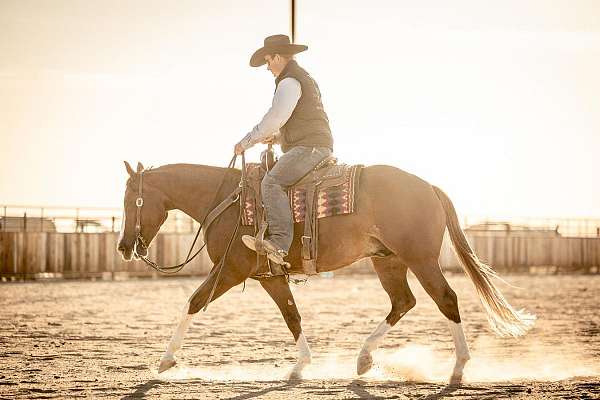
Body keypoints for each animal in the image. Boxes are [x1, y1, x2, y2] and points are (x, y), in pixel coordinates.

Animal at [117, 159, 536, 384]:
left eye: (130, 199)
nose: (123, 247)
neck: (227, 201)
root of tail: (429, 186)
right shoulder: (270, 276)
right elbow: (292, 316)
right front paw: (300, 365)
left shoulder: (232, 270)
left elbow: (193, 301)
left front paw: (165, 360)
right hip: (388, 260)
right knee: (403, 301)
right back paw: (364, 359)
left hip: (420, 259)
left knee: (445, 299)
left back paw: (458, 370)